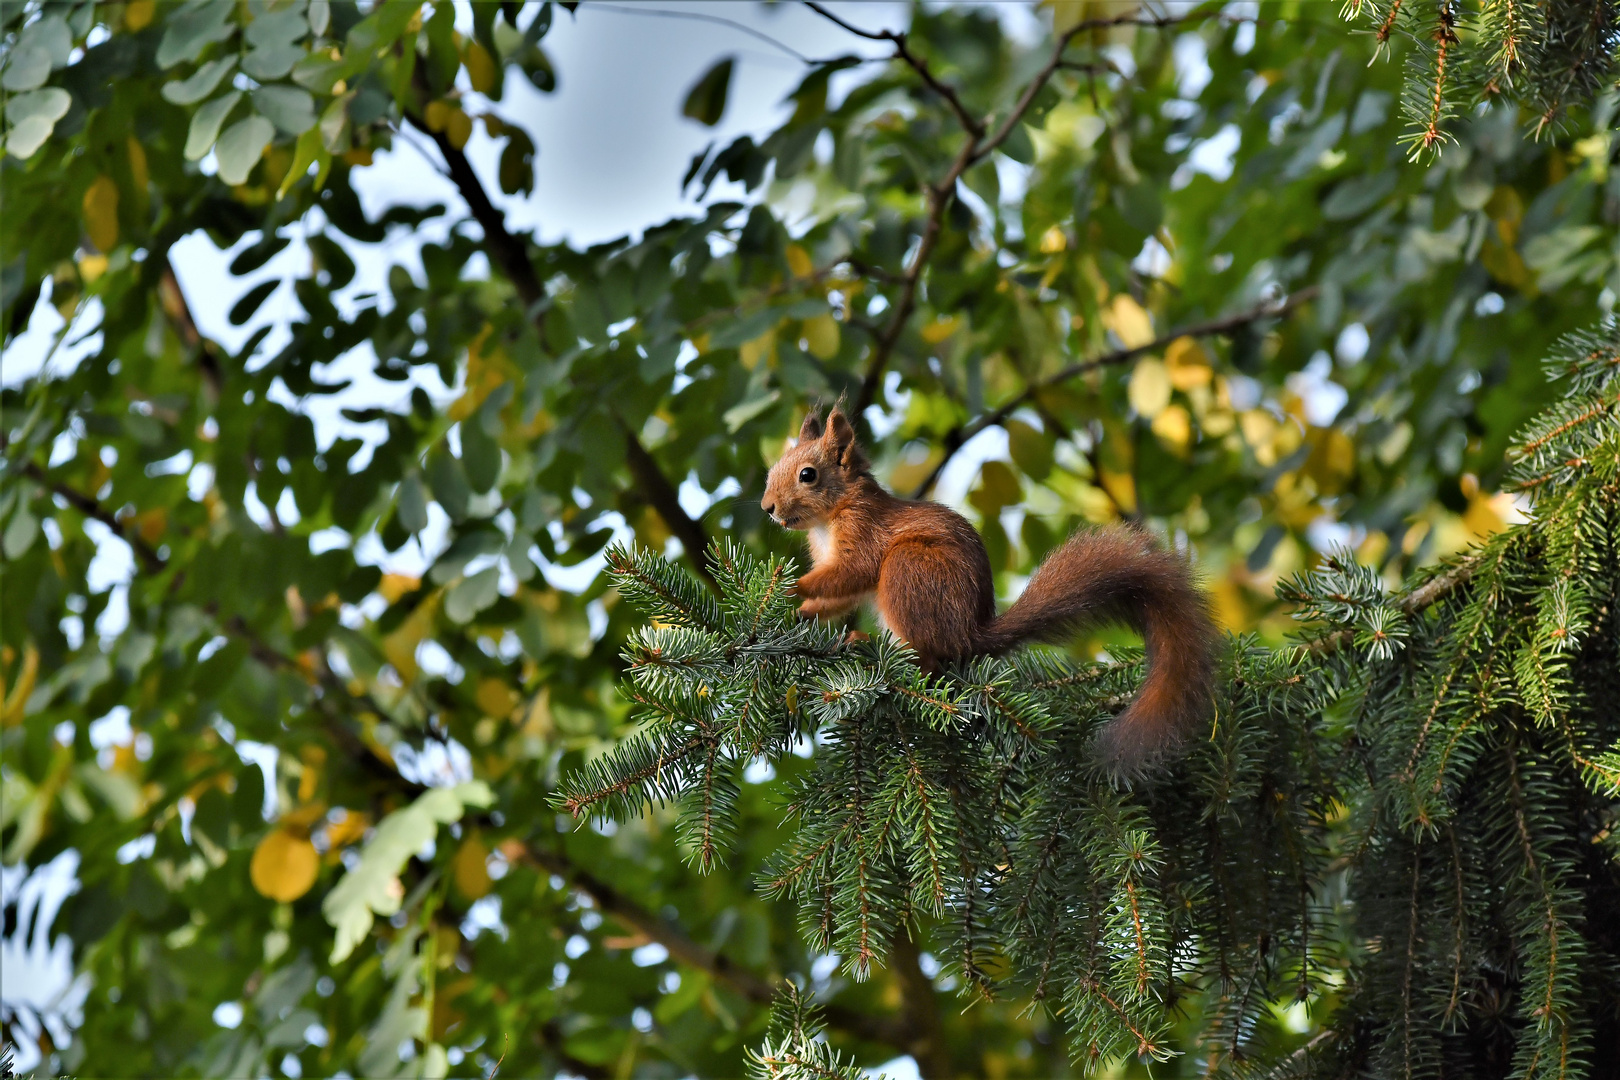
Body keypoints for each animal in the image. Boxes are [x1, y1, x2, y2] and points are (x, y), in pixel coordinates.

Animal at [758, 403, 1218, 767]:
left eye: (807, 475)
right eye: (772, 471)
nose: (767, 508)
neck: (828, 519)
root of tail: (970, 634)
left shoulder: (864, 535)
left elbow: (848, 574)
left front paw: (791, 587)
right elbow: (837, 597)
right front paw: (798, 615)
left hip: (909, 570)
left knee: (929, 661)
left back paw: (868, 645)